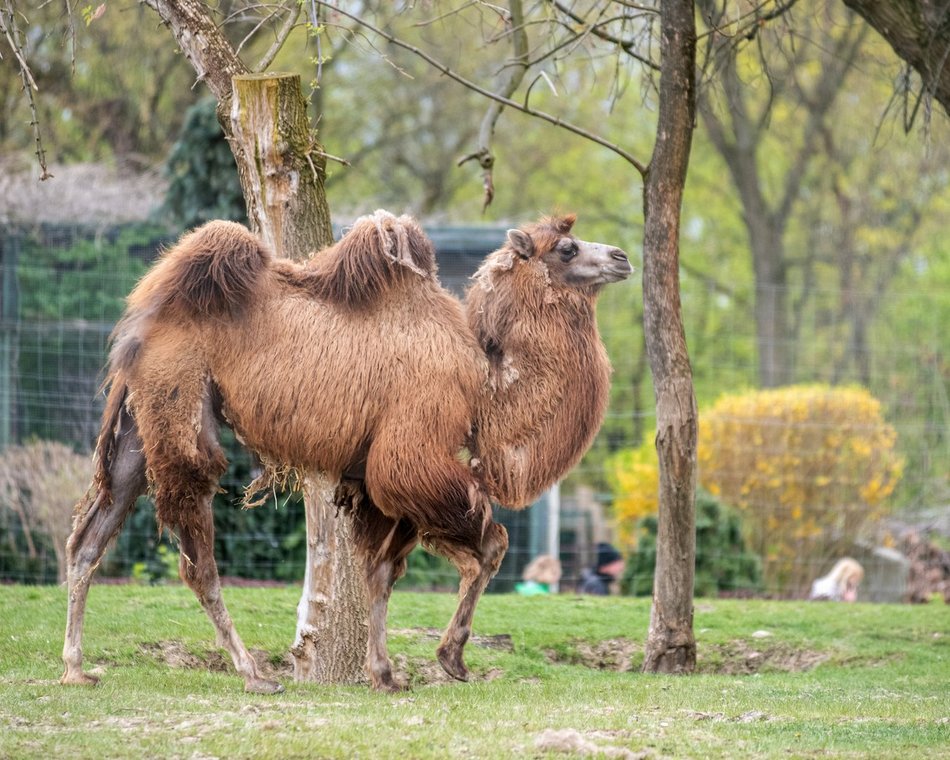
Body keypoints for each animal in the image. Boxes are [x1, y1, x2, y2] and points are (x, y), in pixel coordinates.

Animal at [55, 211, 628, 692]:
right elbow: (492, 546)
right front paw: (452, 659)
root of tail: (142, 316)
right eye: (568, 249)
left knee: (88, 538)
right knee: (197, 557)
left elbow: (381, 575)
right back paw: (254, 674)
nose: (622, 257)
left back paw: (76, 668)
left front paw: (384, 674)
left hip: (140, 423)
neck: (482, 383)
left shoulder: (374, 483)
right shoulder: (410, 457)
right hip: (182, 407)